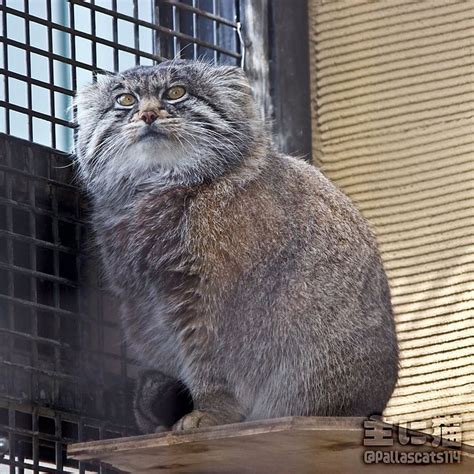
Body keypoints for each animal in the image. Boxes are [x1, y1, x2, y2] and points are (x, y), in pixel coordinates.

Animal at [75, 60, 400, 434]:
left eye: (176, 92)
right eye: (126, 99)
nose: (148, 114)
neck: (162, 188)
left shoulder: (213, 301)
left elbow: (213, 365)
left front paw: (210, 413)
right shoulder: (142, 302)